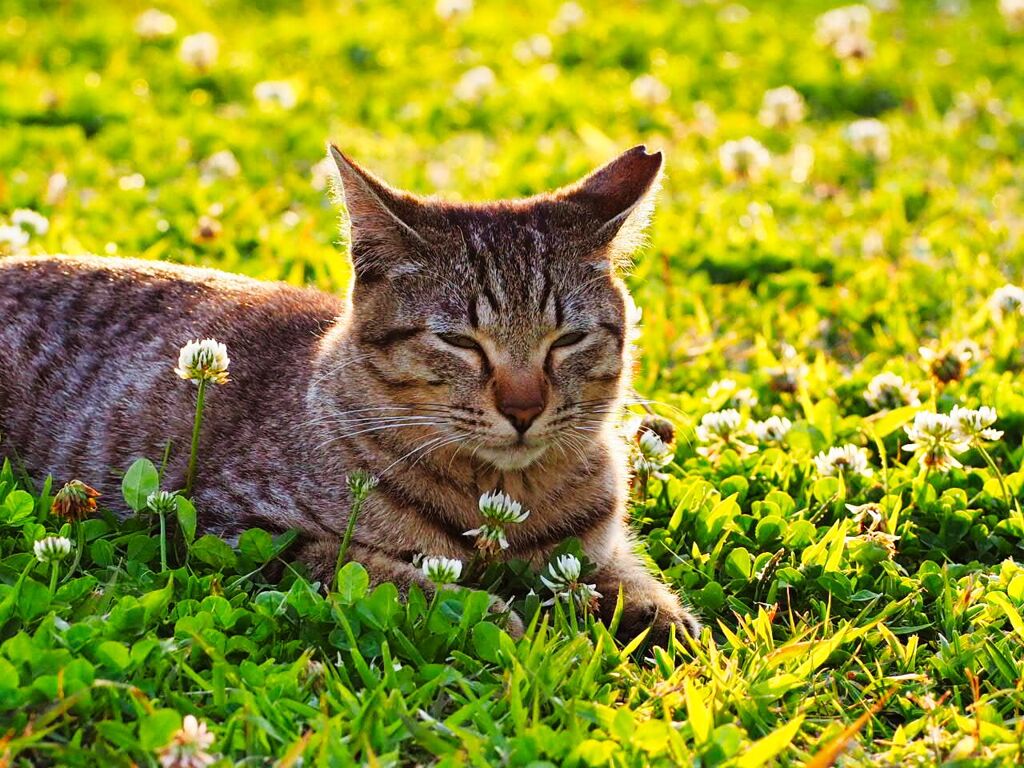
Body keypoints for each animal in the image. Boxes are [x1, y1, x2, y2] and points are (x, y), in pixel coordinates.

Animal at [0, 144, 700, 643]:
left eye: (567, 339)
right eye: (460, 342)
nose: (524, 409)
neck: (504, 496)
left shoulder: (594, 550)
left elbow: (624, 579)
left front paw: (660, 615)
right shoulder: (232, 526)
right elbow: (381, 573)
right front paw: (487, 611)